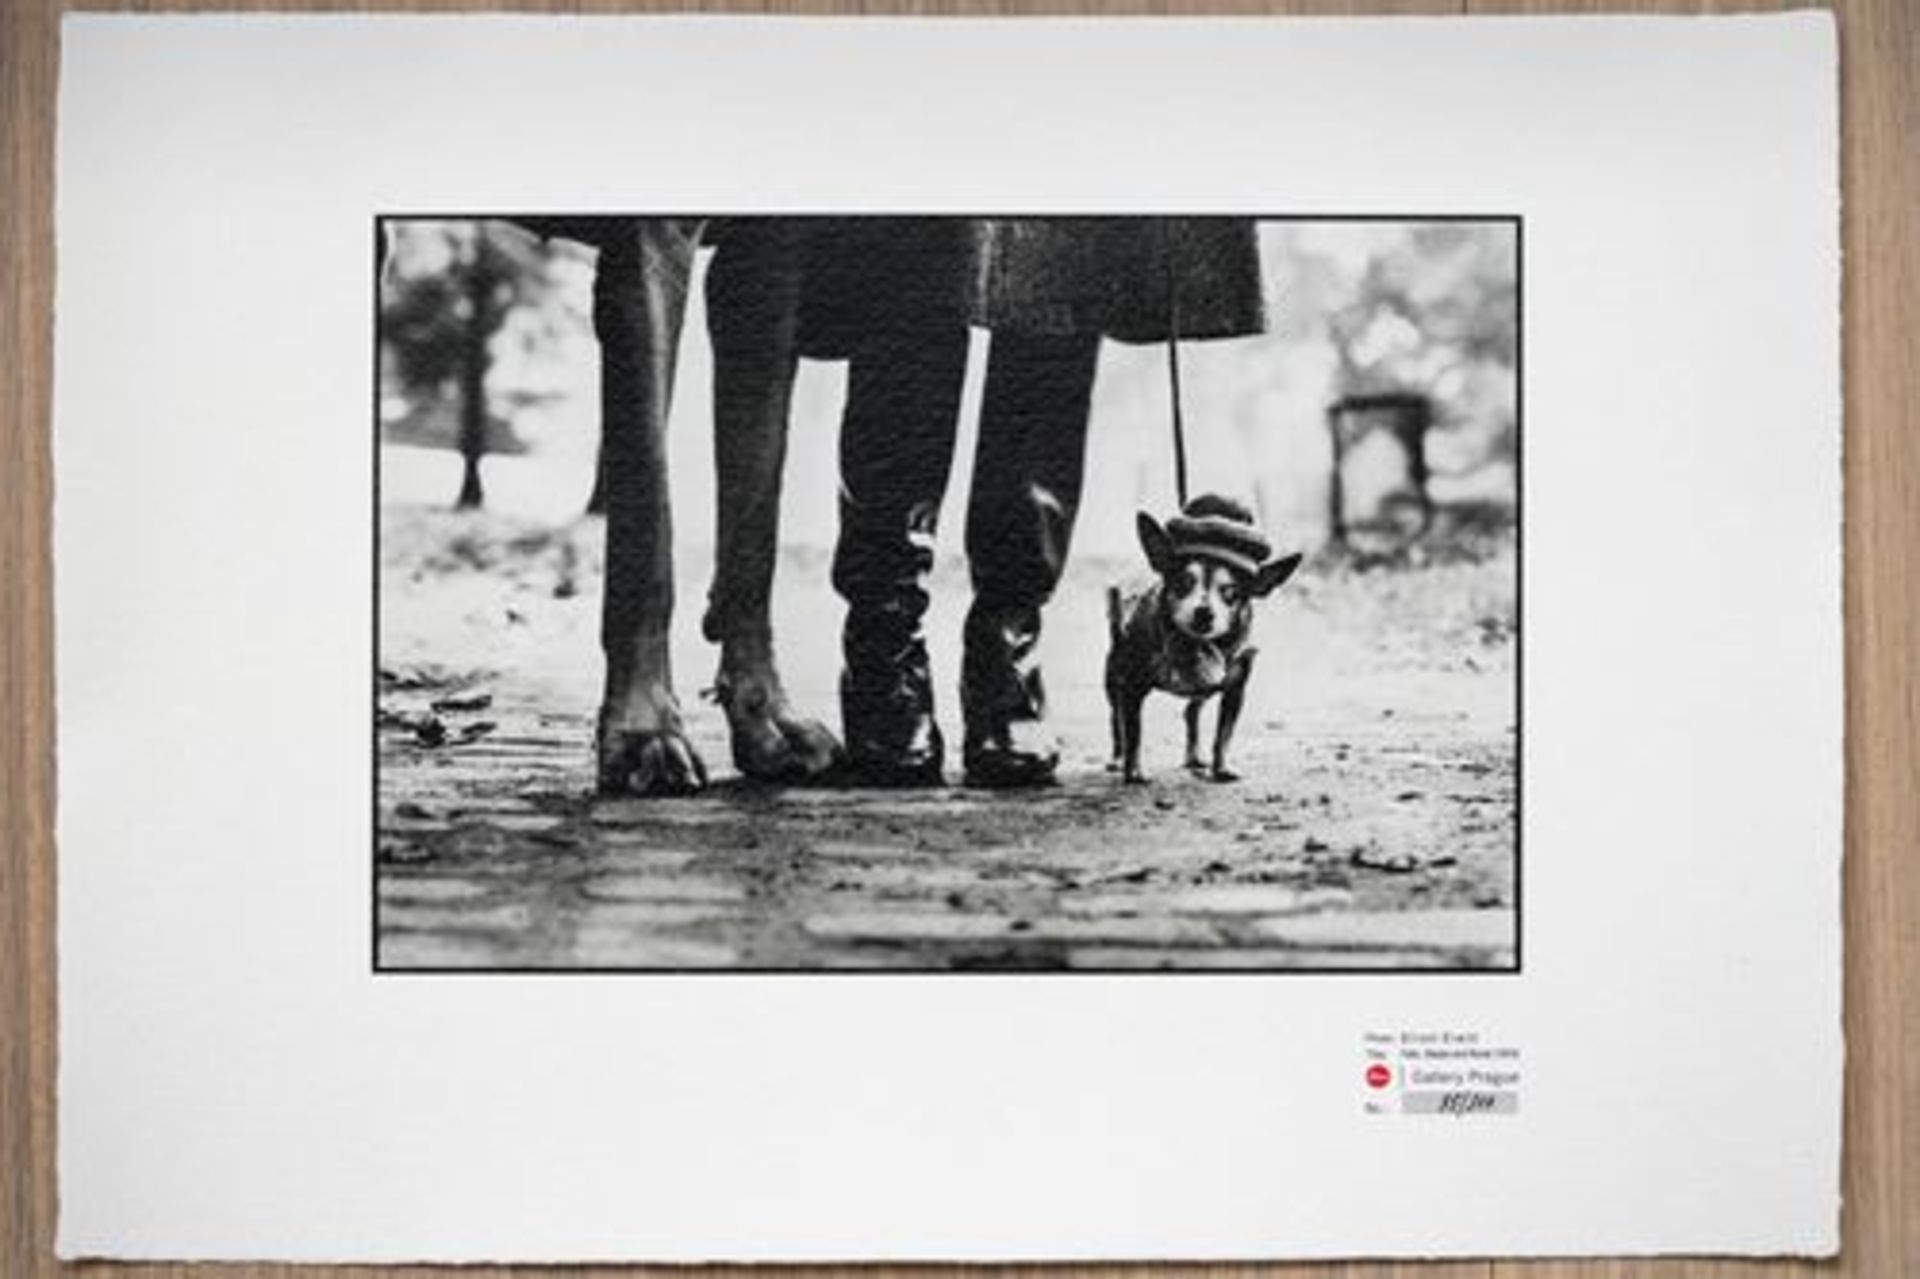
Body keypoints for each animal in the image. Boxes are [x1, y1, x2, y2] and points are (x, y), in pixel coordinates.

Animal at [1113, 491, 1305, 783]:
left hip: (1204, 693)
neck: (1194, 647)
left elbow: (1223, 735)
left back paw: (1194, 757)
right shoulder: (1133, 687)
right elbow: (1134, 732)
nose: (1204, 612)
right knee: (1117, 722)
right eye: (1182, 583)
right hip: (1114, 682)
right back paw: (1116, 758)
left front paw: (1221, 767)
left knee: (1191, 713)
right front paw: (1134, 771)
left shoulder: (1234, 692)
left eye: (1231, 594)